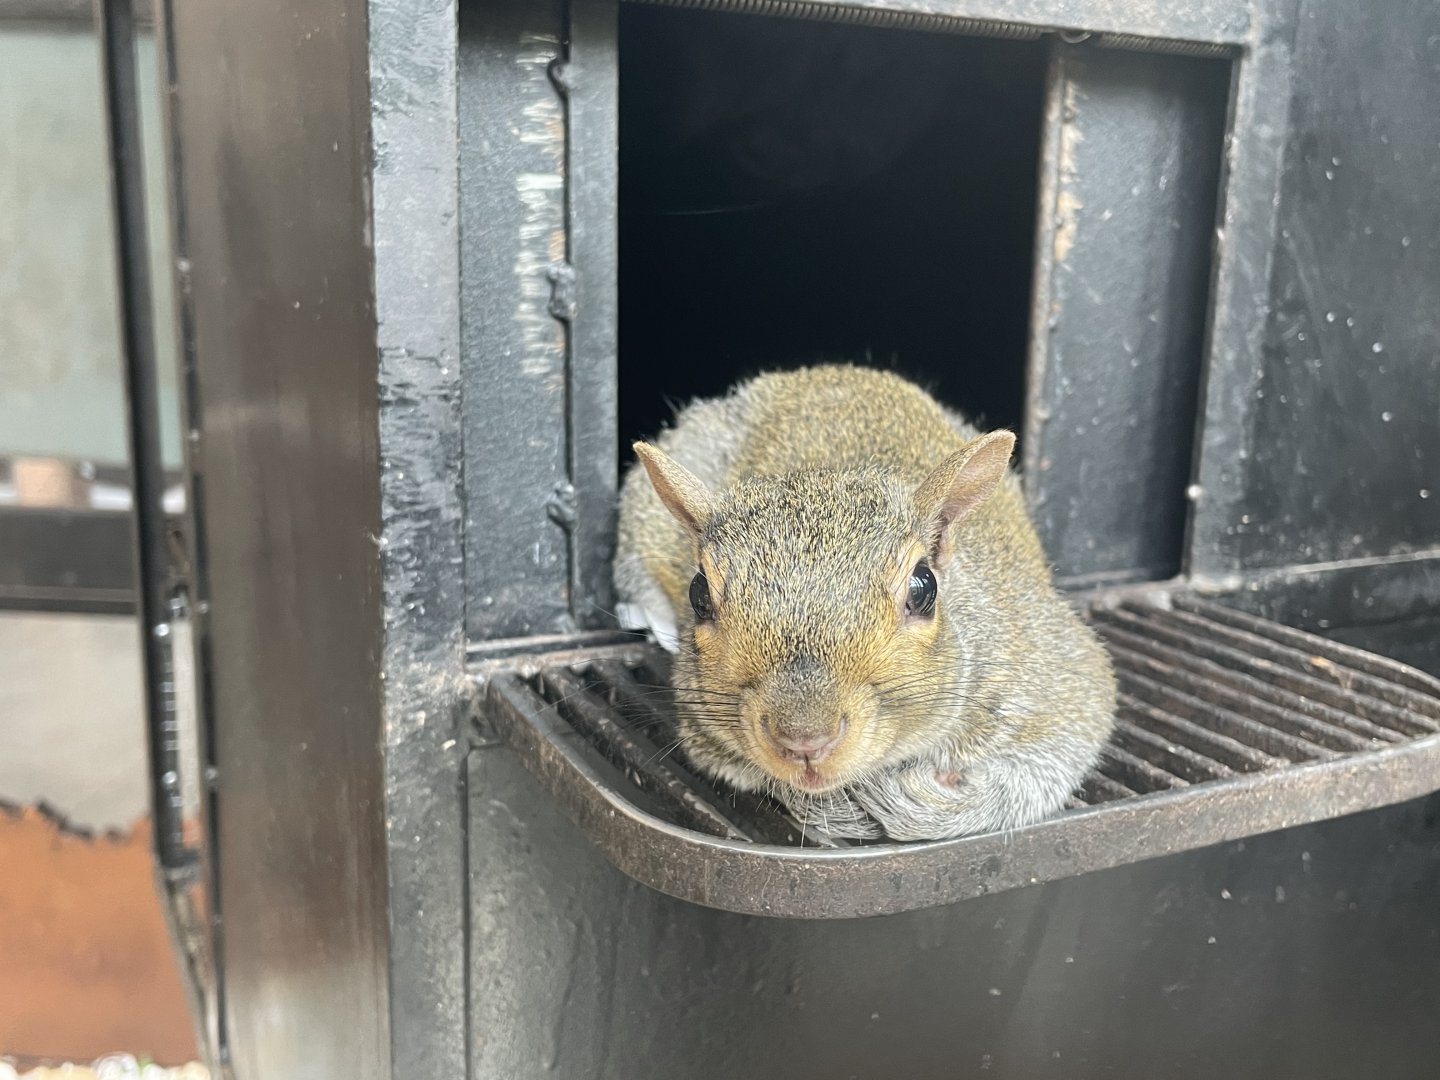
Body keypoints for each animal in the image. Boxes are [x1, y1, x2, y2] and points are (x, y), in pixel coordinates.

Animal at [614, 364, 1115, 841]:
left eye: (924, 587)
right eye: (698, 594)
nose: (805, 741)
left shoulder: (1052, 672)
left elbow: (1043, 769)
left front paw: (924, 801)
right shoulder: (700, 724)